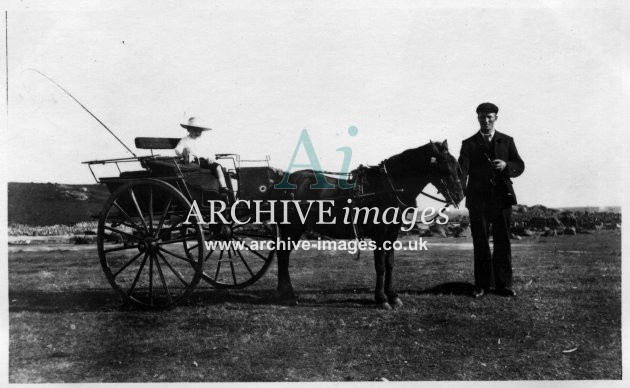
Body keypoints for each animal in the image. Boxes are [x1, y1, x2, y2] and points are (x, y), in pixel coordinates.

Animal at [270, 139, 466, 310]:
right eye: (443, 168)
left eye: (457, 166)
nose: (459, 195)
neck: (388, 188)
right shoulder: (379, 234)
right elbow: (380, 266)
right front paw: (382, 299)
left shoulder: (392, 234)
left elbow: (390, 264)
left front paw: (393, 296)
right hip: (292, 229)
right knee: (283, 255)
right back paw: (288, 295)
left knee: (282, 254)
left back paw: (283, 292)